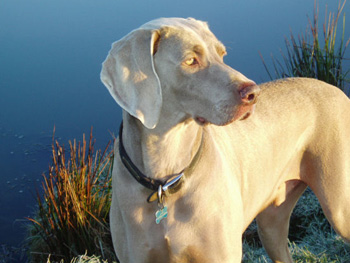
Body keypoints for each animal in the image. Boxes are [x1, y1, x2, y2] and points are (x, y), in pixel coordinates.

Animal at [100, 17, 350, 262]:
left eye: (221, 54)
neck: (166, 178)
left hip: (339, 209)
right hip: (271, 223)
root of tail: (337, 90)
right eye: (190, 60)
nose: (253, 94)